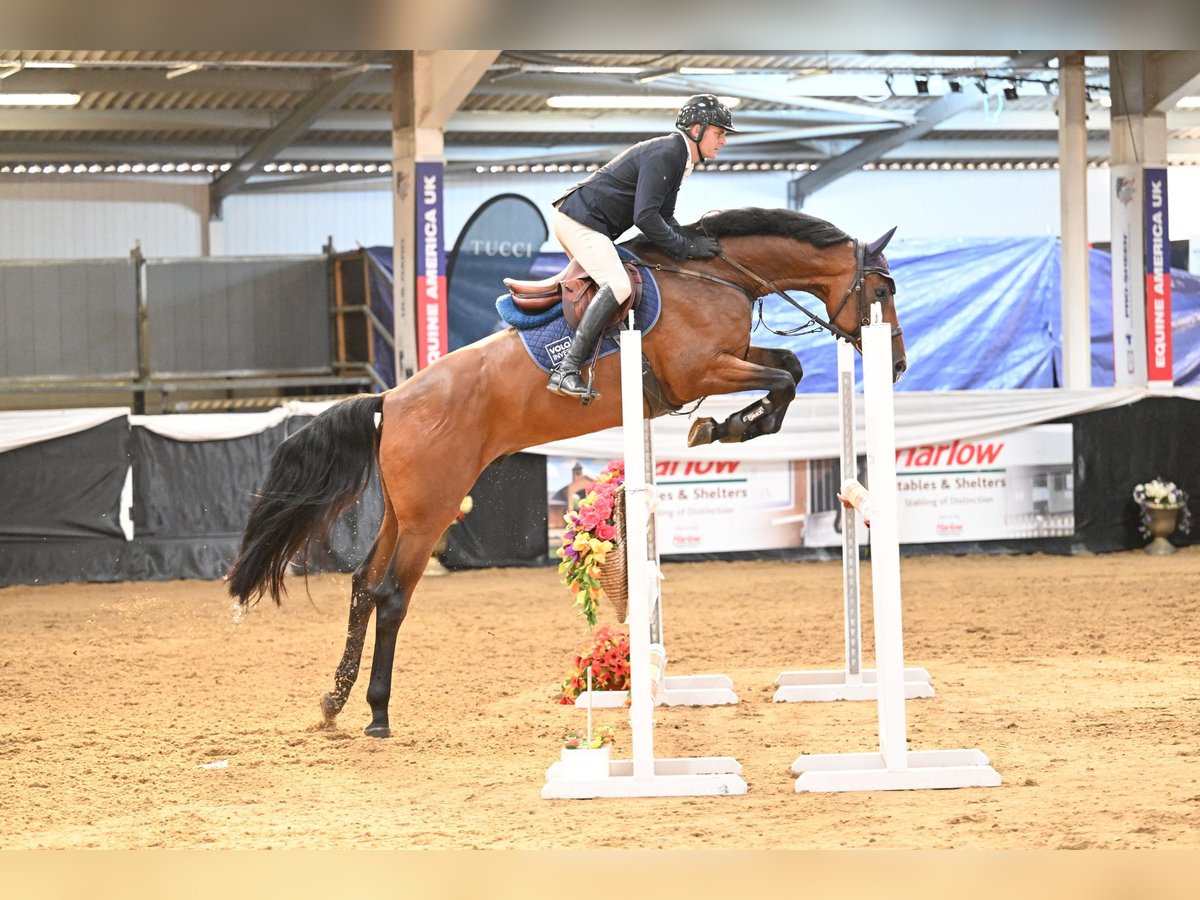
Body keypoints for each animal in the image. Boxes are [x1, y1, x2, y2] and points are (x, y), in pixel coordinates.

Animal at [225, 206, 902, 739]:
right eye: (883, 290)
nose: (895, 364)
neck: (717, 274)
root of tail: (390, 399)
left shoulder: (730, 359)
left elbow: (789, 364)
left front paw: (728, 425)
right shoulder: (704, 369)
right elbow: (784, 376)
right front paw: (723, 427)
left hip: (402, 510)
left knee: (364, 585)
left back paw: (333, 702)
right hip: (431, 512)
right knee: (392, 594)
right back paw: (378, 713)